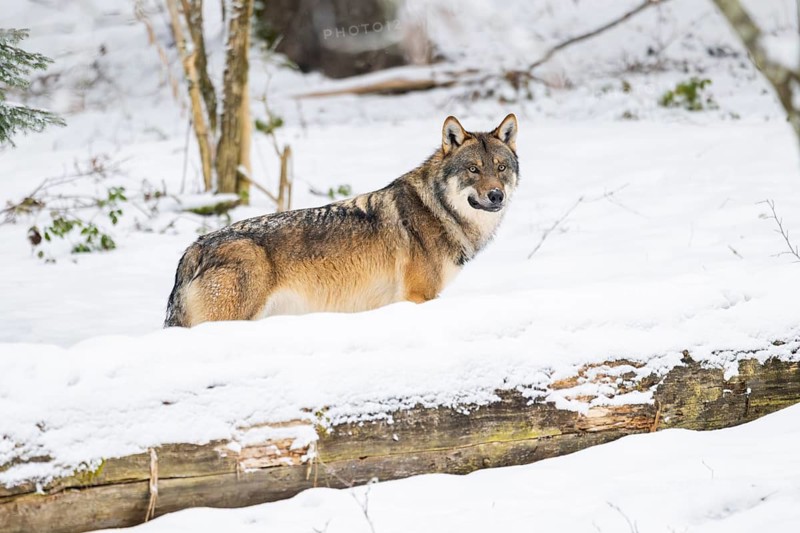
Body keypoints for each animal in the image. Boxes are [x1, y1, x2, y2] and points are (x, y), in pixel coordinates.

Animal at [164, 114, 519, 327]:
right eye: (473, 169)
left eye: (501, 168)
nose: (496, 195)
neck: (437, 209)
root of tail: (193, 249)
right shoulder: (419, 297)